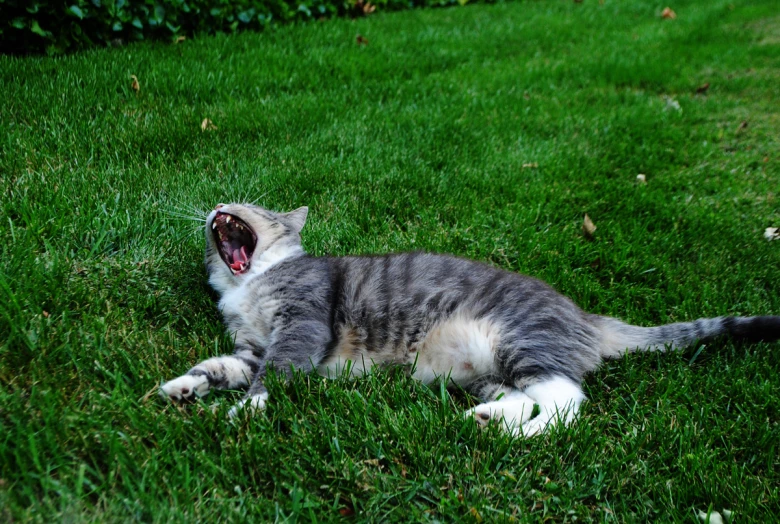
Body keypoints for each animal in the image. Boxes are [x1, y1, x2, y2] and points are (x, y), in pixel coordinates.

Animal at [160, 203, 780, 436]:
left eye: (250, 205)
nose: (218, 206)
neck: (249, 284)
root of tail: (585, 315)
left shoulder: (303, 323)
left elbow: (277, 372)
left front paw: (246, 410)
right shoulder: (249, 346)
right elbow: (224, 365)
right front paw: (184, 388)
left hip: (521, 339)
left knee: (567, 400)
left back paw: (512, 430)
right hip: (486, 370)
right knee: (528, 396)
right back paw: (488, 420)